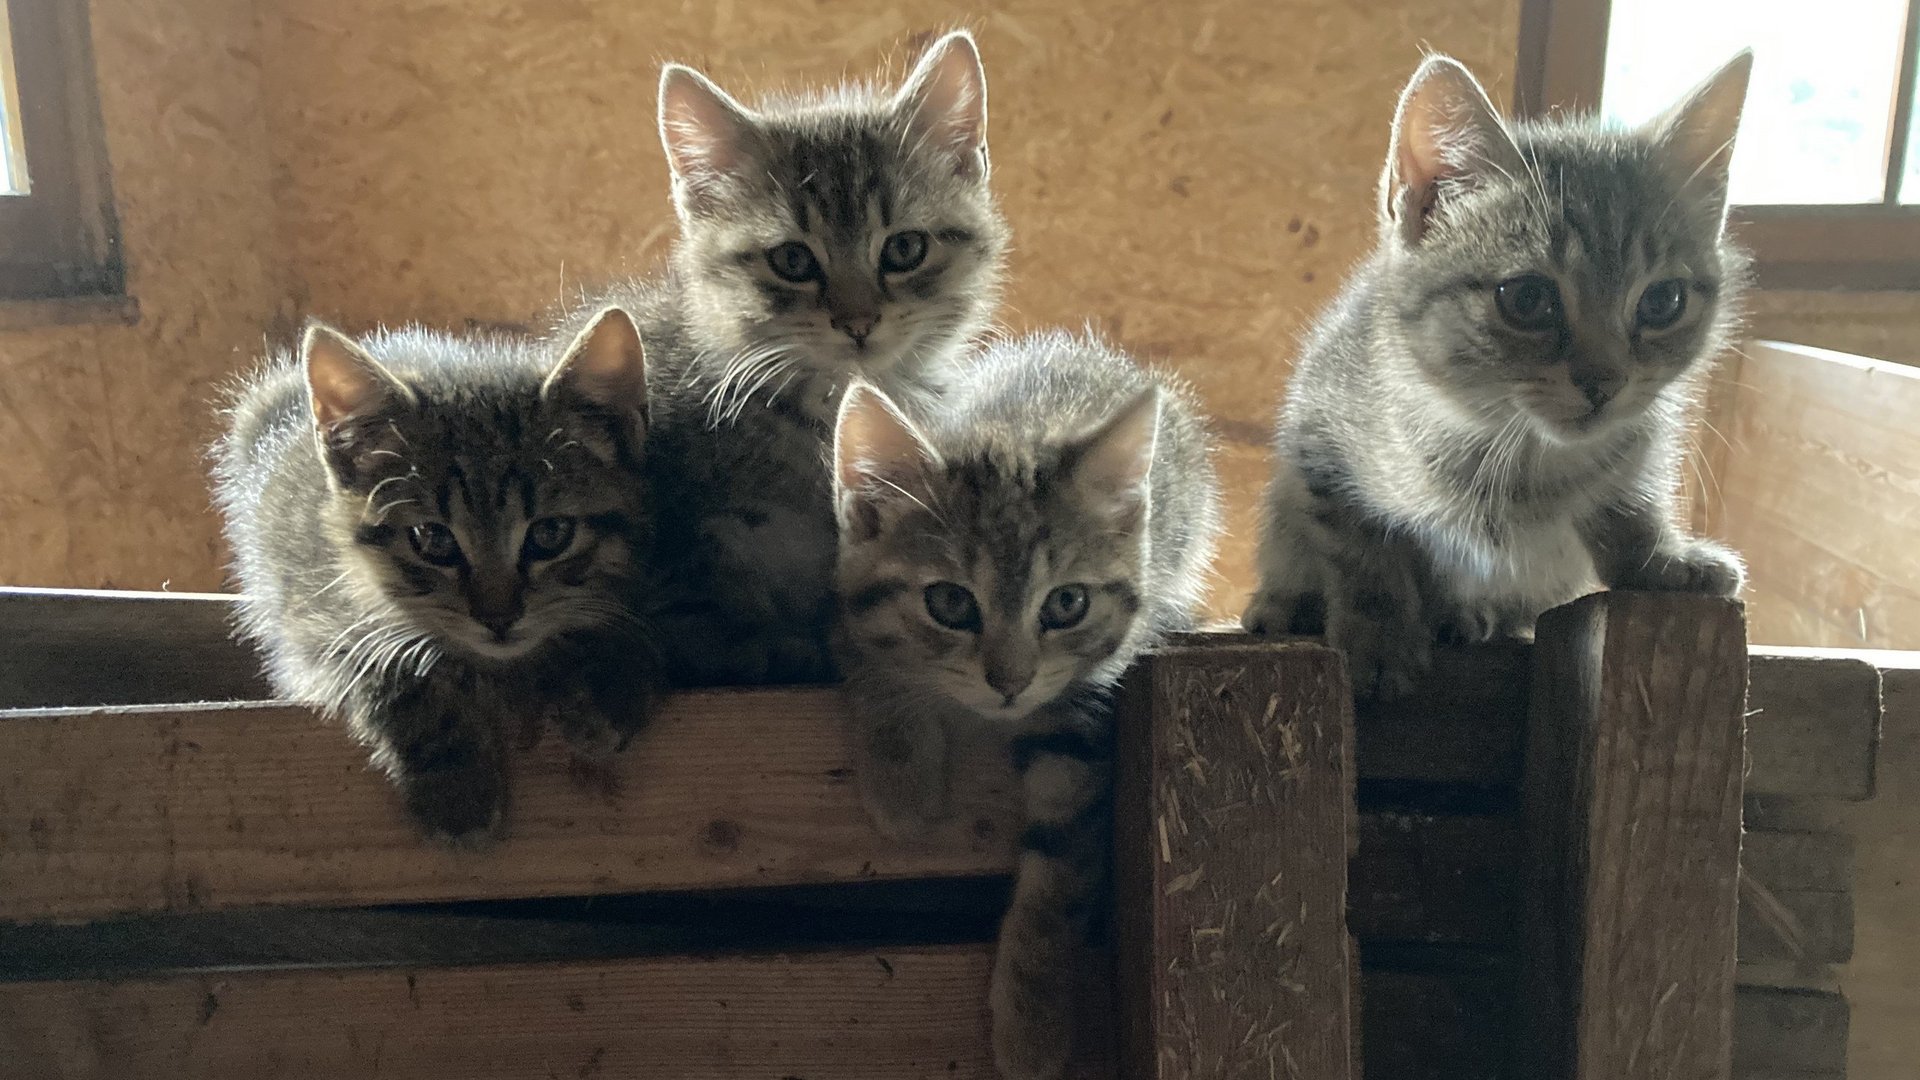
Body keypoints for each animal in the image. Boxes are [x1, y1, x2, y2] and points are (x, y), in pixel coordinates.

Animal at [215, 307, 656, 837]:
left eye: (551, 533)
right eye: (433, 539)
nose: (498, 618)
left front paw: (608, 684)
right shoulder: (312, 627)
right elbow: (392, 668)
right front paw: (458, 789)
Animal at [833, 328, 1221, 1076]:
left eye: (1066, 604)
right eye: (950, 603)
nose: (1009, 682)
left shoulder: (1085, 713)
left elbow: (1060, 873)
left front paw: (1033, 1022)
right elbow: (871, 655)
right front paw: (901, 780)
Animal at [1244, 50, 1758, 691]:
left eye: (1664, 302)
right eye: (1527, 299)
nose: (1605, 382)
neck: (1518, 457)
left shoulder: (1638, 447)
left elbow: (1628, 507)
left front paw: (1662, 561)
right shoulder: (1321, 437)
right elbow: (1361, 547)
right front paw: (1378, 636)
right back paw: (1289, 604)